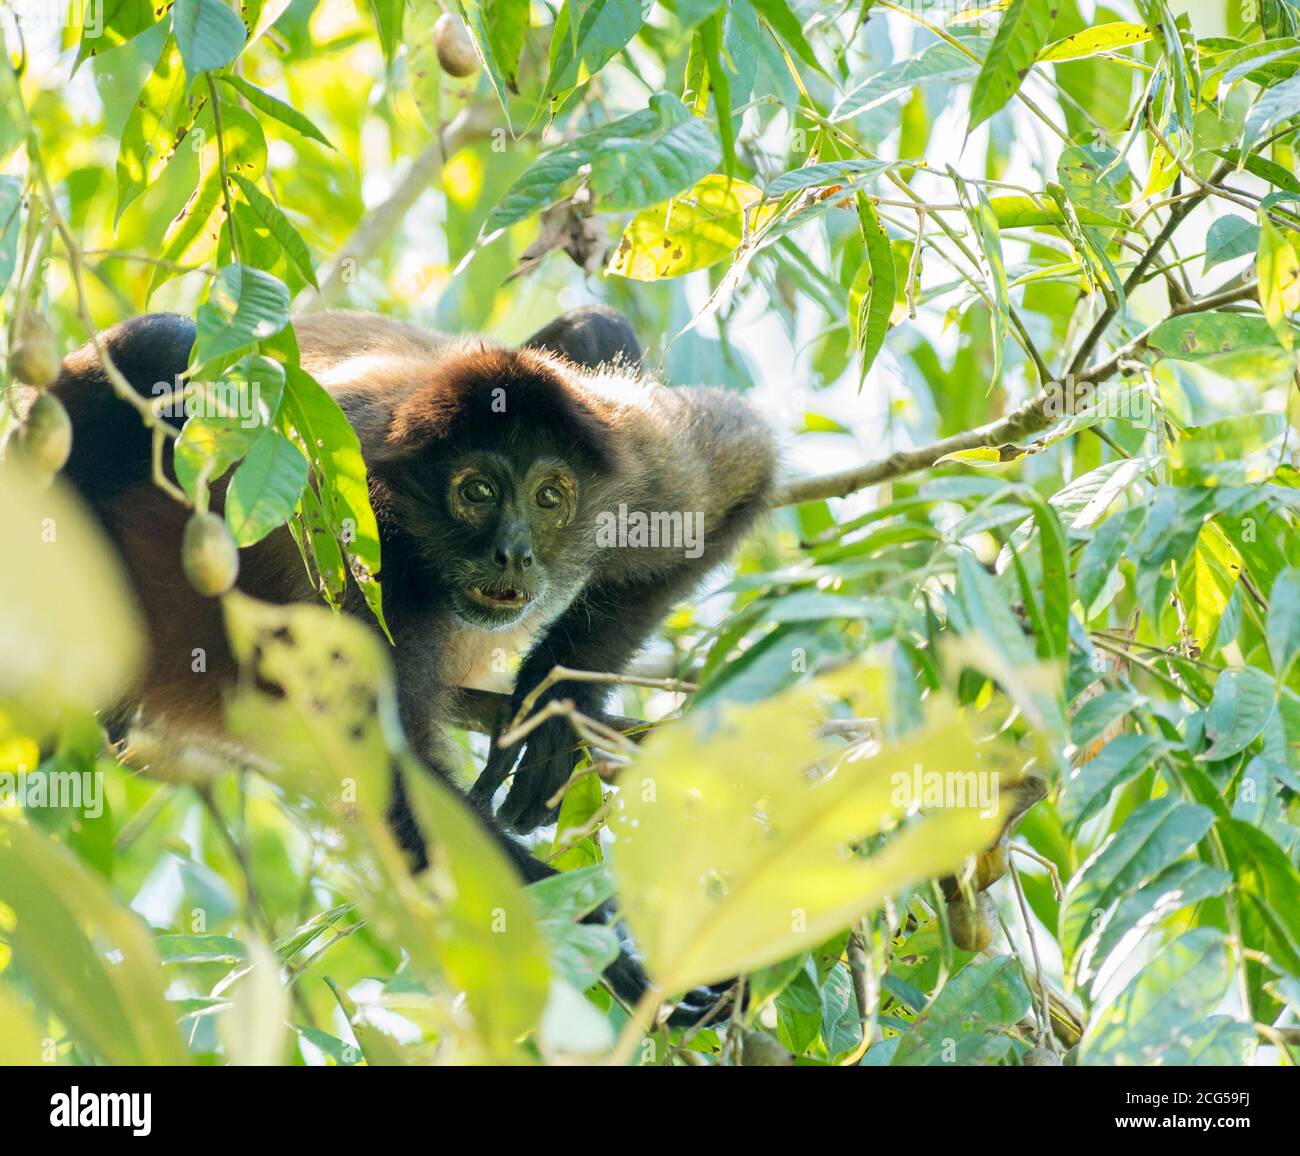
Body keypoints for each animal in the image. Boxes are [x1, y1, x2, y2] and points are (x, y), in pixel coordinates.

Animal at [50, 304, 774, 1019]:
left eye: (549, 498)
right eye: (476, 491)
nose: (515, 553)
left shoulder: (638, 464)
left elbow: (742, 466)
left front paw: (556, 708)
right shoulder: (351, 553)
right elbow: (398, 796)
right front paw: (631, 951)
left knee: (598, 326)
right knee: (166, 340)